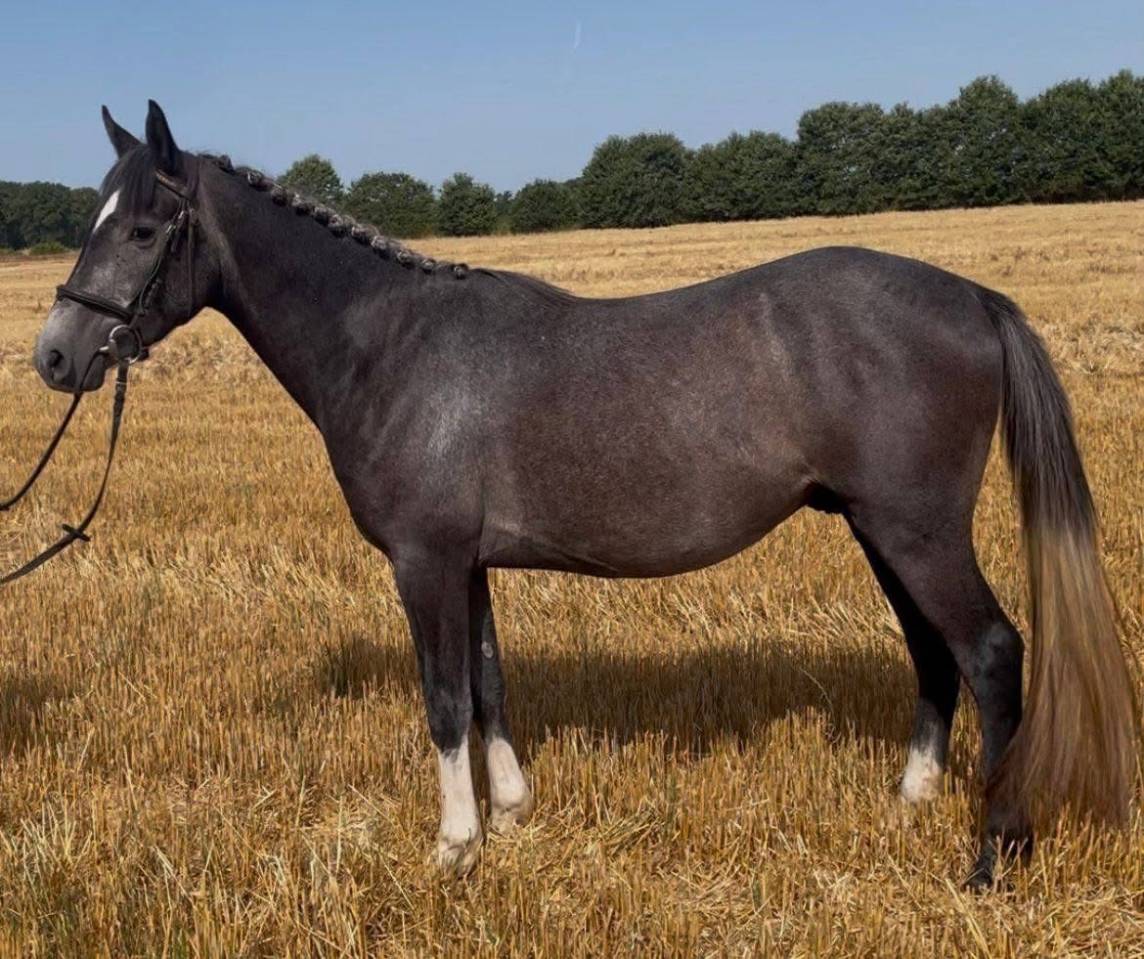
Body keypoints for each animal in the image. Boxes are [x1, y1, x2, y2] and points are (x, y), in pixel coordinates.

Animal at [28, 101, 1137, 886]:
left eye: (141, 229)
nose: (55, 356)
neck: (391, 344)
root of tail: (973, 298)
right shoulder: (466, 561)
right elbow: (487, 682)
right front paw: (512, 812)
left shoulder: (424, 560)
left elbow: (442, 698)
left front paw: (453, 847)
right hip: (881, 528)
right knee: (932, 651)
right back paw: (911, 801)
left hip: (917, 530)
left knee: (989, 651)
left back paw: (995, 853)